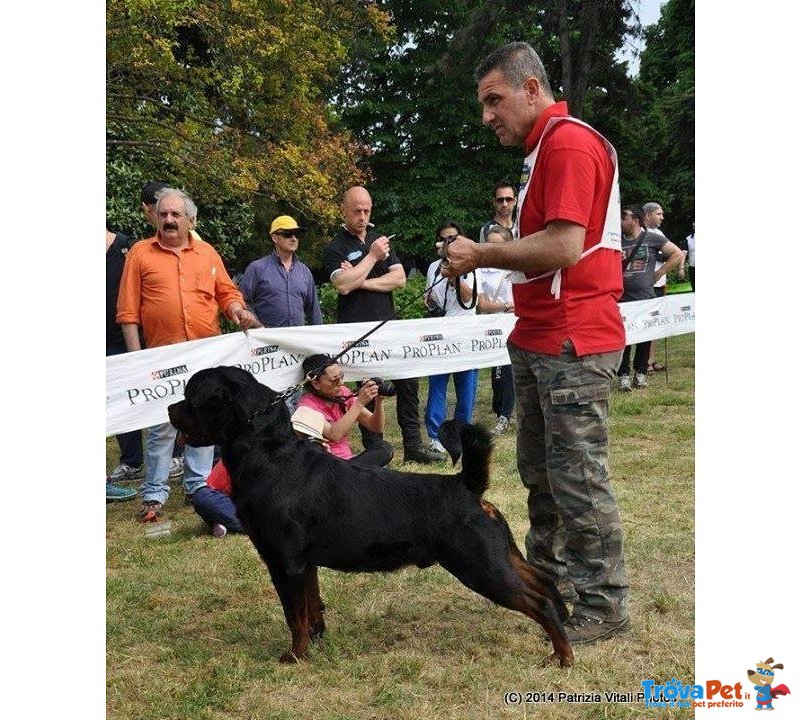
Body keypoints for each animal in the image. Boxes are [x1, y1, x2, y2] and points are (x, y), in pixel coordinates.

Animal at [170, 368, 576, 668]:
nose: (171, 408)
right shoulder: (305, 564)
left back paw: (563, 655)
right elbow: (312, 605)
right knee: (544, 582)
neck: (267, 451)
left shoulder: (284, 563)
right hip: (499, 556)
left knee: (537, 601)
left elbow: (294, 614)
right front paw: (317, 639)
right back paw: (563, 628)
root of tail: (466, 485)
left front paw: (295, 656)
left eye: (190, 396)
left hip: (480, 566)